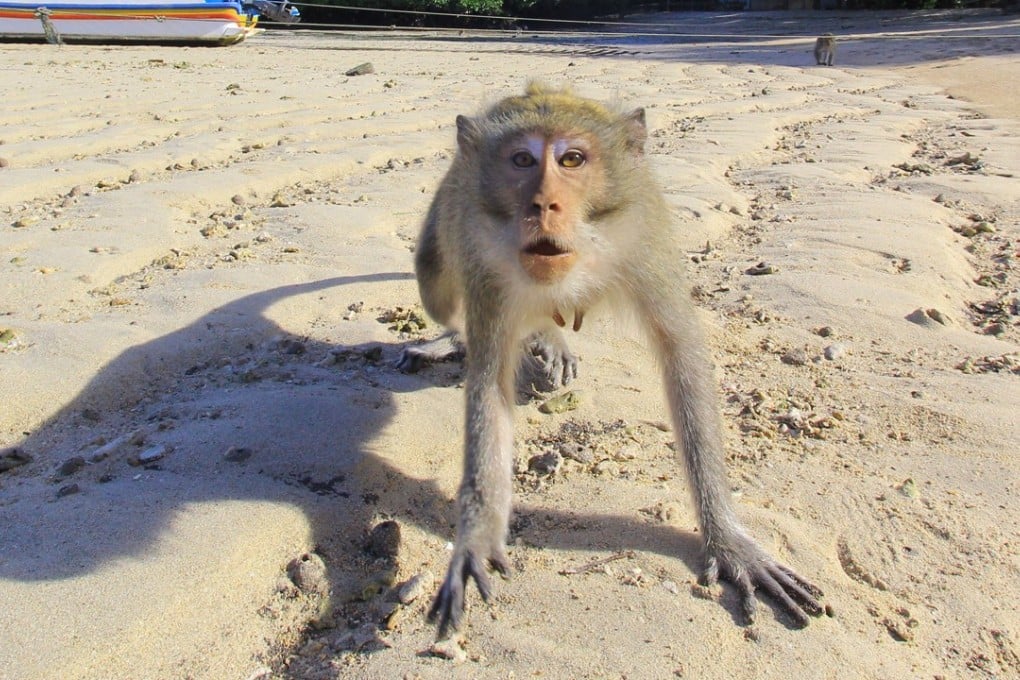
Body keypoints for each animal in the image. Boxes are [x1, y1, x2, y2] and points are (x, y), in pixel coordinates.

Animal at [397, 83, 823, 639]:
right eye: (521, 160)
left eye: (572, 159)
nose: (544, 203)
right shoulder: (482, 258)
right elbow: (489, 387)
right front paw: (475, 538)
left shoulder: (644, 237)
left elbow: (682, 355)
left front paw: (727, 538)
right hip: (450, 212)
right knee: (437, 285)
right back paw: (484, 336)